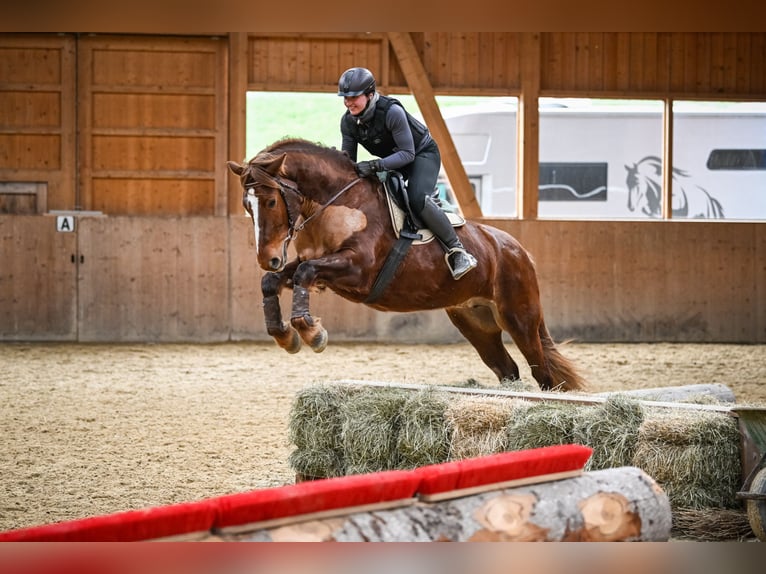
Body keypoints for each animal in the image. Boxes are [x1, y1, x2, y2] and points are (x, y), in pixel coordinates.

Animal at [228, 137, 588, 394]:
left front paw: (312, 333)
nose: (268, 259)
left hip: (519, 317)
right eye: (247, 205)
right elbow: (274, 282)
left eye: (271, 201)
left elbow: (304, 274)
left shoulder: (357, 270)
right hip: (475, 322)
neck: (336, 202)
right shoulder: (315, 264)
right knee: (508, 369)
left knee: (543, 373)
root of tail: (518, 250)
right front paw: (285, 335)